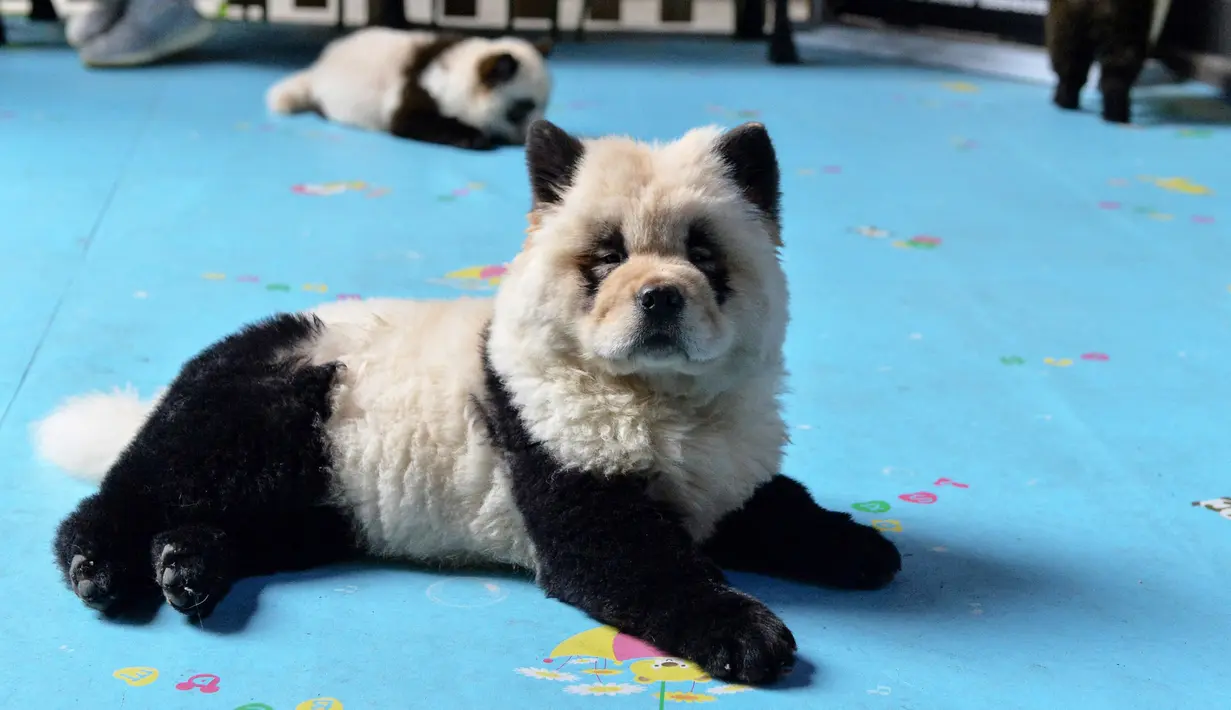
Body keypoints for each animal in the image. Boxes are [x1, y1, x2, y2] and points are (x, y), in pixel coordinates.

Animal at [266, 28, 553, 150]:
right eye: (521, 109)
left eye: (545, 105)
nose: (529, 135)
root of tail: (318, 66)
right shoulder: (417, 93)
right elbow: (412, 121)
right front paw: (474, 138)